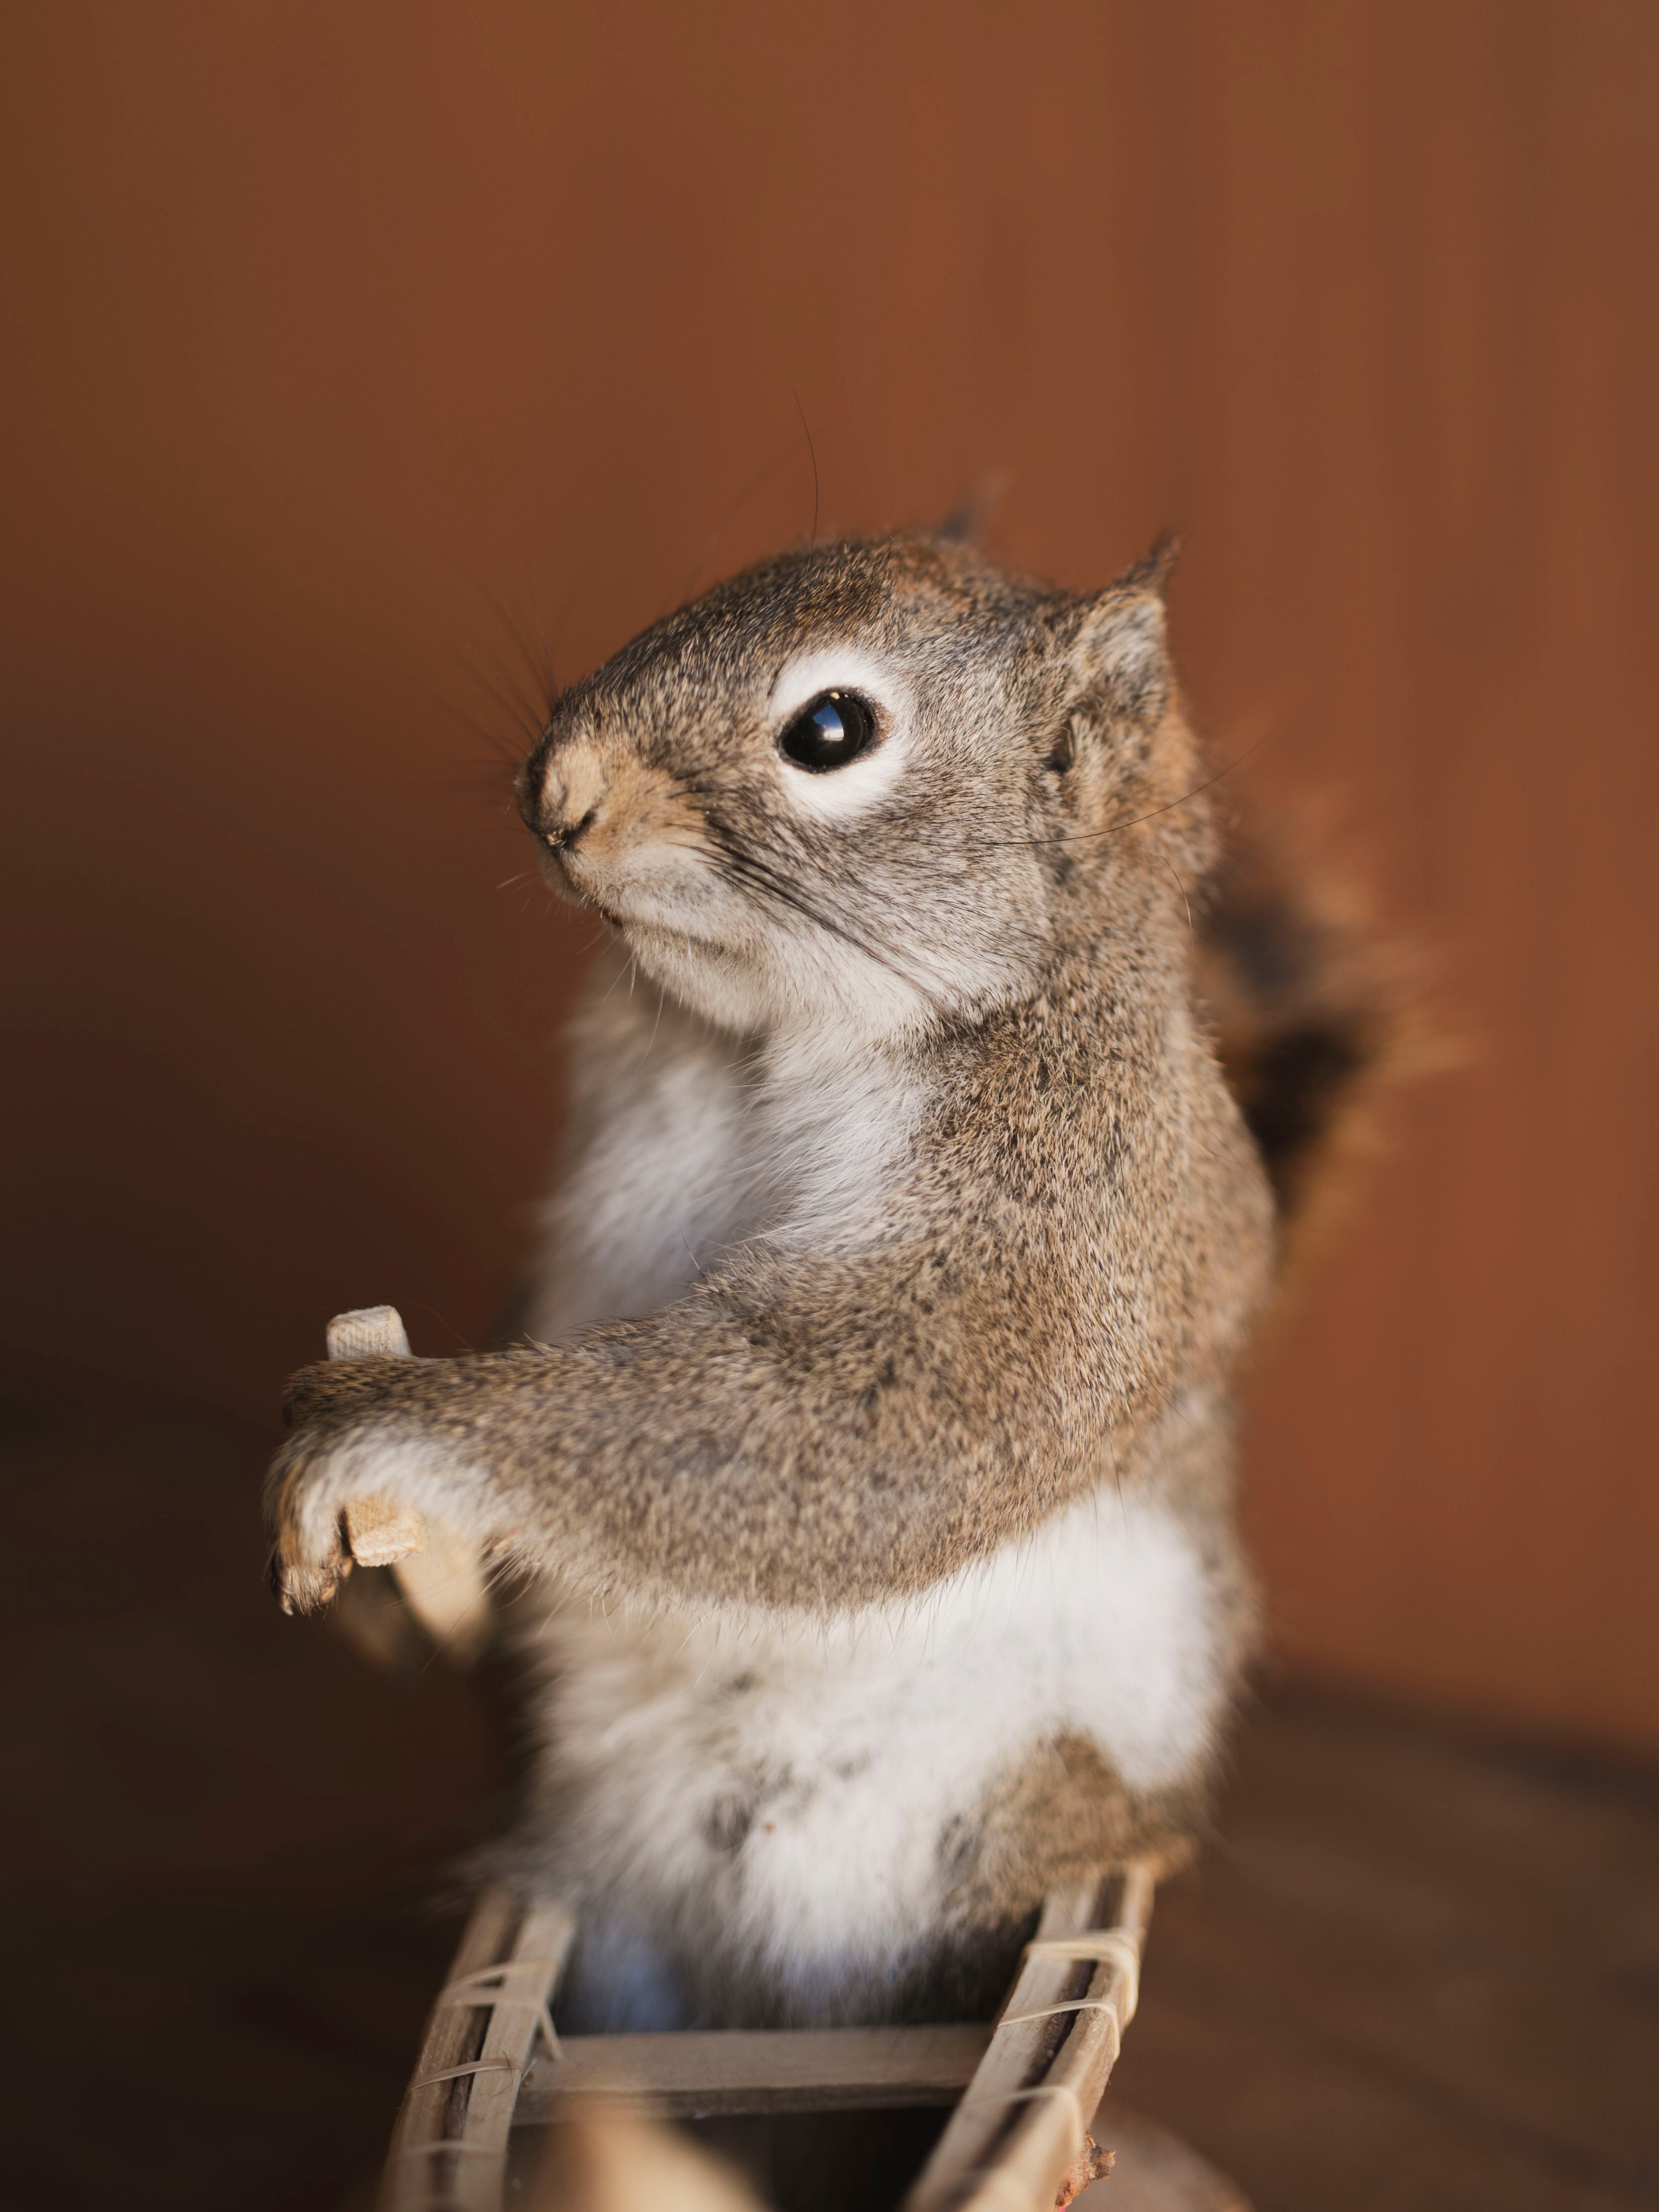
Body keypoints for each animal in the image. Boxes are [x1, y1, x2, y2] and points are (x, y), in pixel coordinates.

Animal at [268, 528, 1393, 2034]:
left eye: (832, 730)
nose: (558, 790)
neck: (772, 1033)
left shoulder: (1072, 1206)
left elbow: (875, 1418)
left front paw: (392, 1431)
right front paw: (399, 1598)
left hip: (991, 1804)